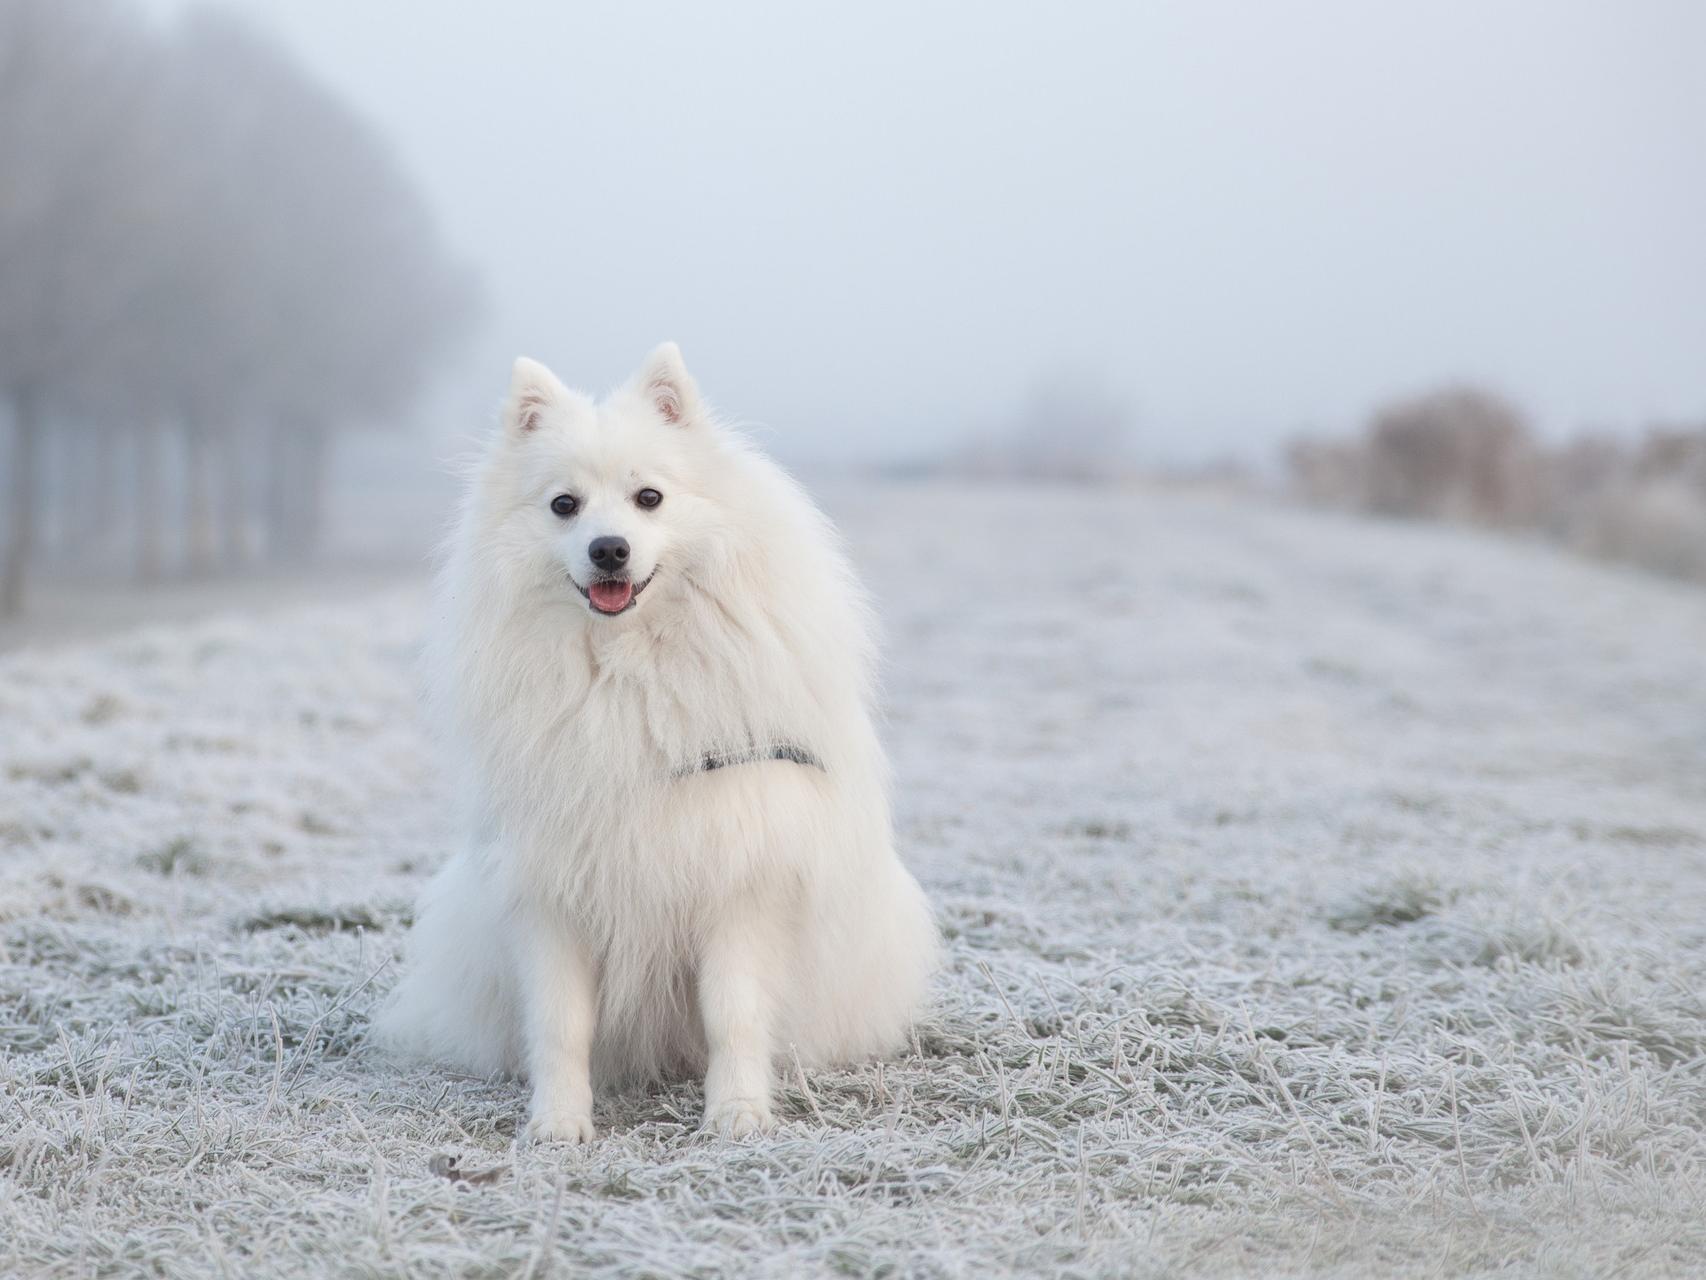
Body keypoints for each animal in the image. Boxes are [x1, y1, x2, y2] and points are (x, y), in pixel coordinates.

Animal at [382, 343, 941, 1140]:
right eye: (564, 505)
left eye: (649, 497)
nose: (608, 549)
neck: (627, 673)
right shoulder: (551, 890)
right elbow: (560, 1024)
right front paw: (558, 1125)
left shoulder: (741, 878)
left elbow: (733, 1013)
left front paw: (736, 1114)